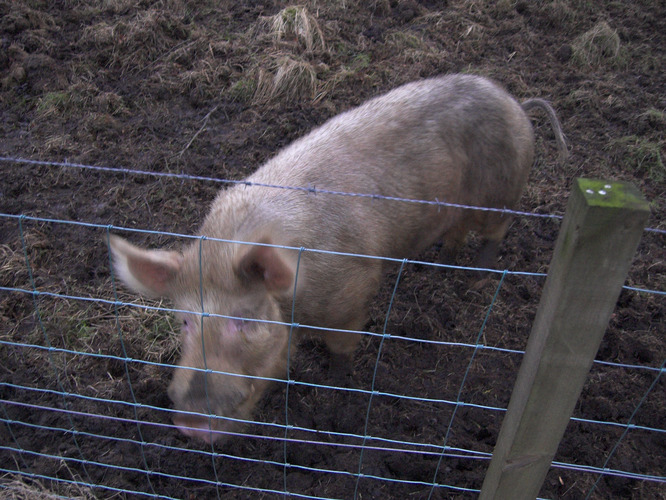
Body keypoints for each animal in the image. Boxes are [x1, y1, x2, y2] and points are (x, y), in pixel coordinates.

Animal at [109, 74, 567, 444]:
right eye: (185, 321)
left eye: (246, 319)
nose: (189, 423)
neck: (296, 305)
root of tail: (513, 101)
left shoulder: (353, 292)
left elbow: (343, 349)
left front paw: (334, 392)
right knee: (455, 233)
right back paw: (438, 266)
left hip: (500, 192)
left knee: (495, 233)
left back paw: (474, 280)